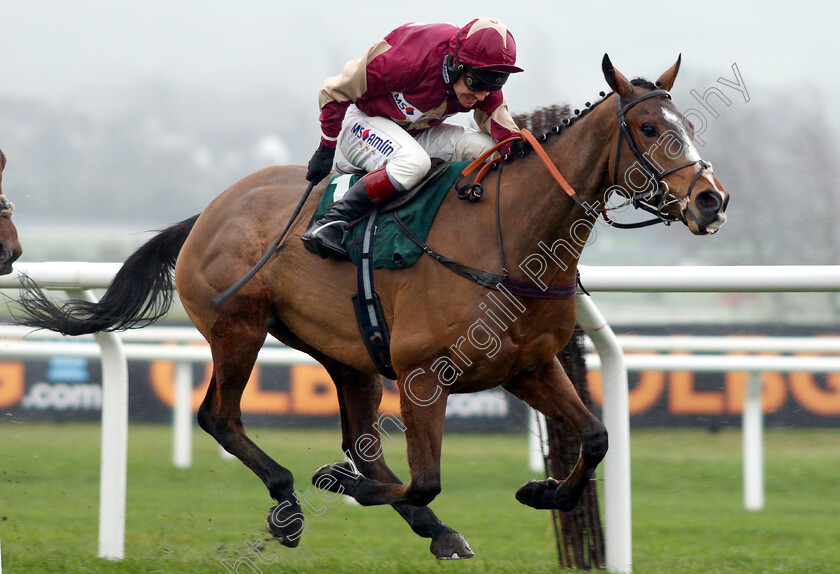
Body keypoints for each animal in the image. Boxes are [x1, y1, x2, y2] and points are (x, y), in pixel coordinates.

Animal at [14, 56, 728, 560]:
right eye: (649, 128)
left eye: (690, 127)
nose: (711, 200)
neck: (509, 236)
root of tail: (209, 211)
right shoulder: (421, 376)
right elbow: (427, 476)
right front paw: (335, 486)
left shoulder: (530, 365)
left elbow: (598, 436)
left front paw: (541, 489)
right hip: (238, 328)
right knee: (219, 416)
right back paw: (290, 501)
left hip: (346, 353)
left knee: (358, 441)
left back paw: (431, 528)